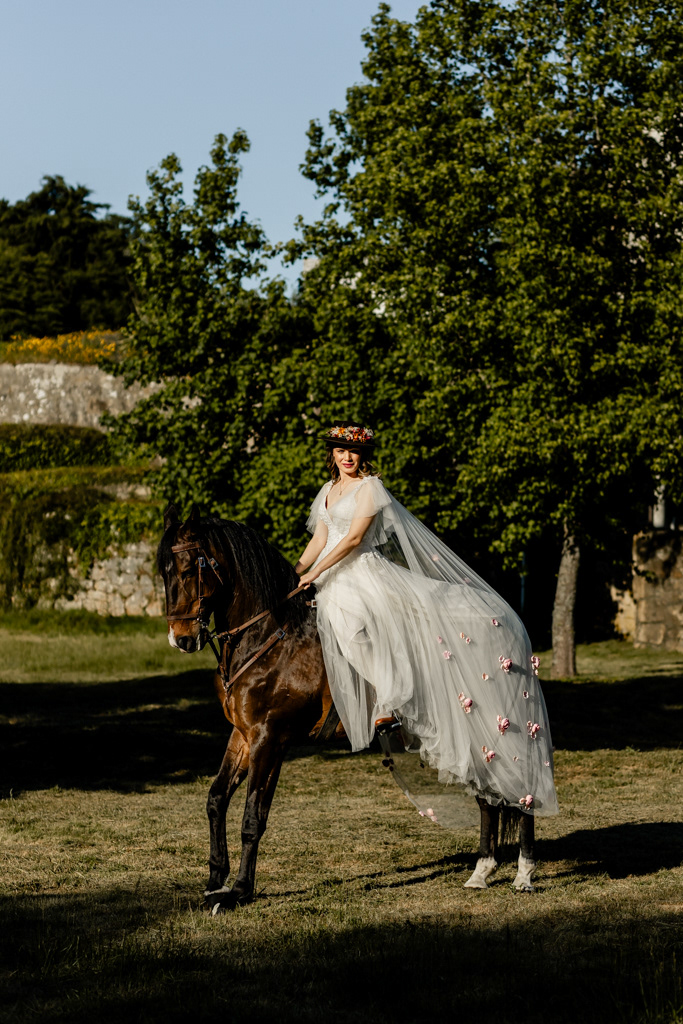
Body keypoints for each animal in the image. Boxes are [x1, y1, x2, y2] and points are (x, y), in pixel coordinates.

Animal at [159, 504, 538, 913]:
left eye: (189, 570)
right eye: (163, 572)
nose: (181, 640)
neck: (272, 637)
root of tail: (506, 619)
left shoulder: (269, 739)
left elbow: (253, 817)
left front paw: (240, 891)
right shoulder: (243, 735)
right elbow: (216, 798)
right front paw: (215, 881)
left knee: (521, 790)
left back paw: (524, 875)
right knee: (489, 797)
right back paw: (481, 873)